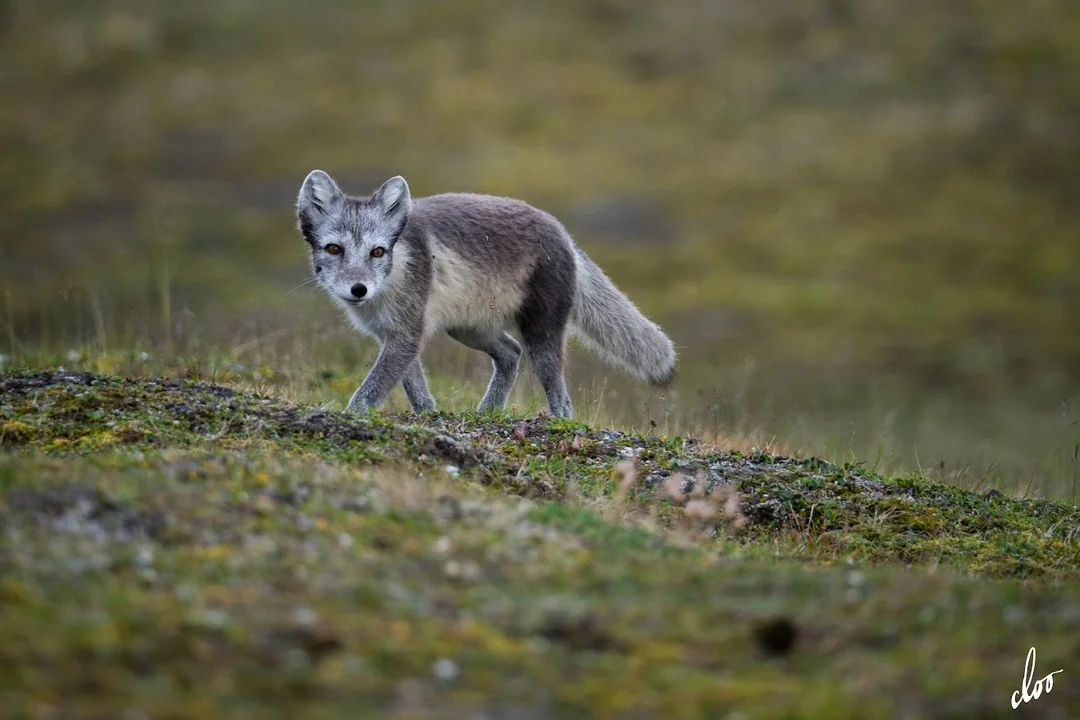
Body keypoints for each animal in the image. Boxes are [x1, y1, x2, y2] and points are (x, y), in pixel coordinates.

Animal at [291, 169, 669, 418]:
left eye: (378, 251)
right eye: (334, 249)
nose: (359, 289)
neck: (394, 275)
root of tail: (563, 233)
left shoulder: (406, 334)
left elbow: (372, 388)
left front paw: (351, 414)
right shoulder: (397, 335)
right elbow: (414, 384)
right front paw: (427, 415)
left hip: (541, 333)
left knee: (558, 391)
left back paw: (555, 420)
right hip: (469, 329)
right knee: (511, 353)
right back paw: (488, 411)